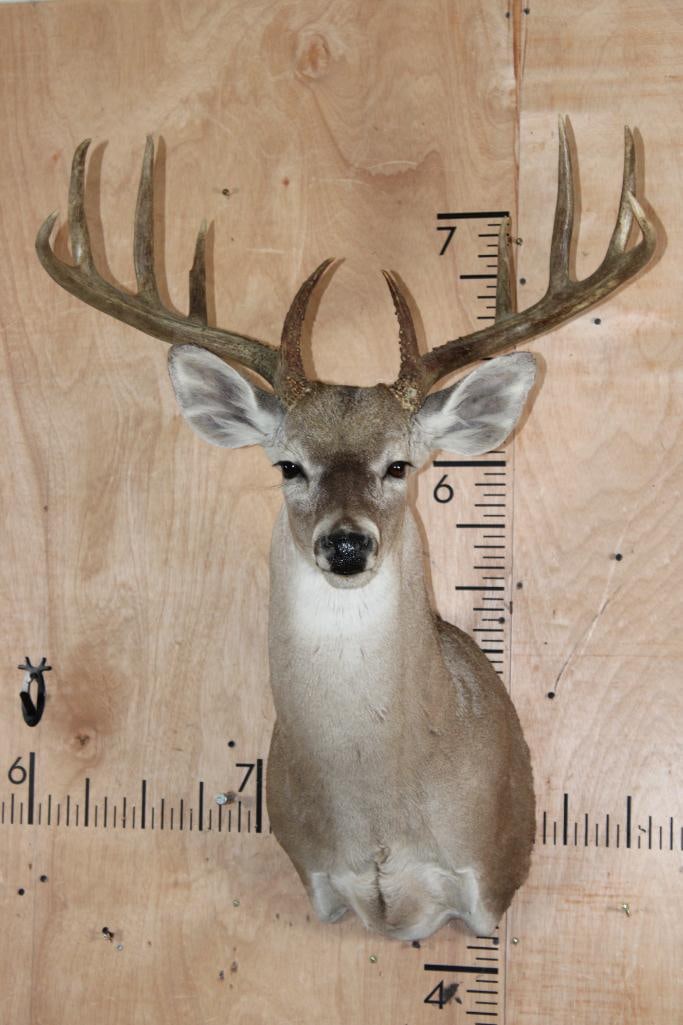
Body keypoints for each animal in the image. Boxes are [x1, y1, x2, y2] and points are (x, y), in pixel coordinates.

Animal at [36, 119, 656, 941]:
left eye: (400, 465)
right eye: (287, 465)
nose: (346, 543)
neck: (380, 814)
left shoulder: (491, 875)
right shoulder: (317, 877)